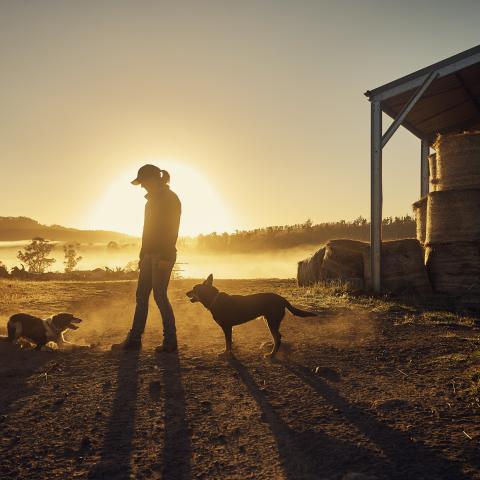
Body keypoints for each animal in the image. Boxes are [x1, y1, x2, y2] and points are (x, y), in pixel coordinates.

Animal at [188, 274, 318, 356]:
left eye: (194, 289)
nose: (186, 293)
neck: (214, 300)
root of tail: (282, 299)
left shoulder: (226, 327)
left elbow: (227, 342)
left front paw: (226, 353)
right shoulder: (229, 328)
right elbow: (230, 341)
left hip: (271, 321)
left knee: (278, 338)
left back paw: (271, 354)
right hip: (270, 321)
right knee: (278, 337)